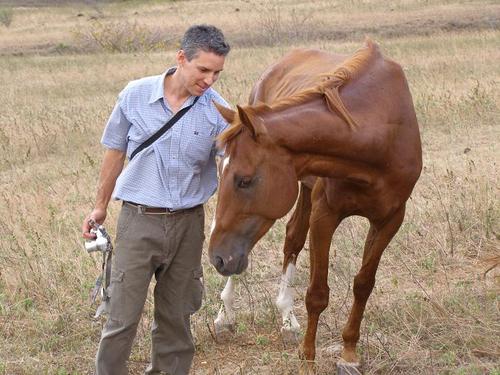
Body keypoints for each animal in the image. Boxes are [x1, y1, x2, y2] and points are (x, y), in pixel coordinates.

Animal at [207, 39, 422, 374]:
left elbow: (363, 284)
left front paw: (349, 353)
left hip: (305, 190)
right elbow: (317, 294)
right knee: (256, 253)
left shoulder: (389, 219)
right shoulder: (325, 216)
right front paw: (308, 358)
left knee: (291, 238)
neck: (380, 136)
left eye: (244, 180)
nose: (216, 256)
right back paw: (225, 314)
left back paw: (286, 317)